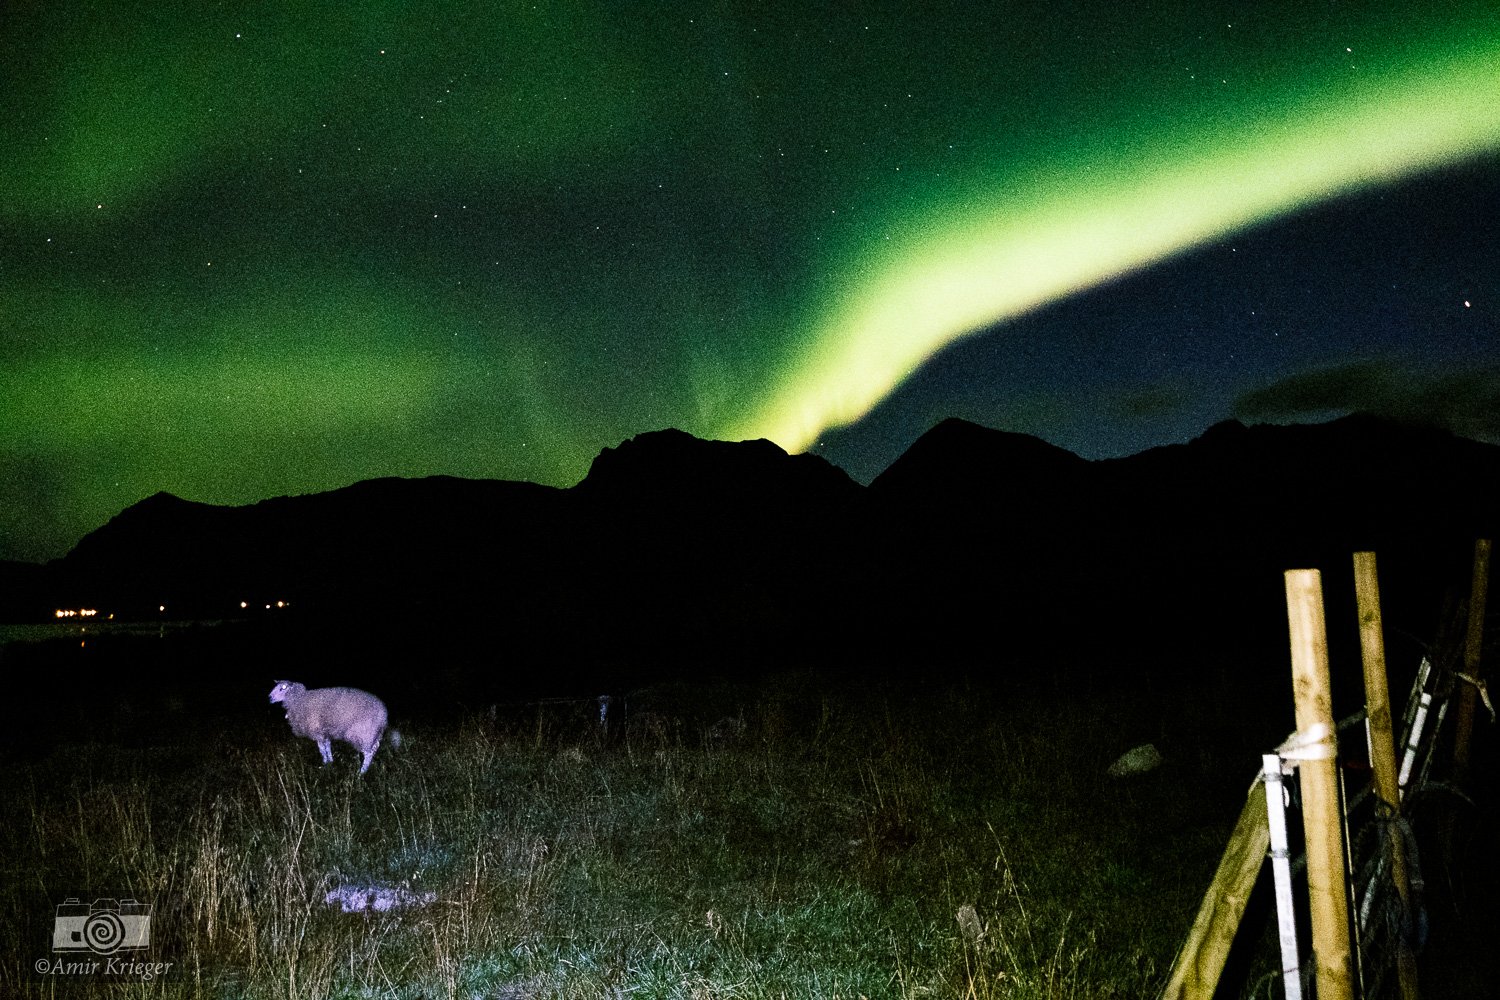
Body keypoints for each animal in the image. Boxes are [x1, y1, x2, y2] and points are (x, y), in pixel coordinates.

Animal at [270, 680, 399, 773]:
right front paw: (330, 761)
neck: (298, 700)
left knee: (368, 753)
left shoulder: (317, 732)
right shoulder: (324, 732)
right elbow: (327, 746)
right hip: (374, 733)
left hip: (364, 733)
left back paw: (362, 772)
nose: (269, 697)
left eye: (282, 688)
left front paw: (324, 763)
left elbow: (322, 749)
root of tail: (384, 715)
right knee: (375, 747)